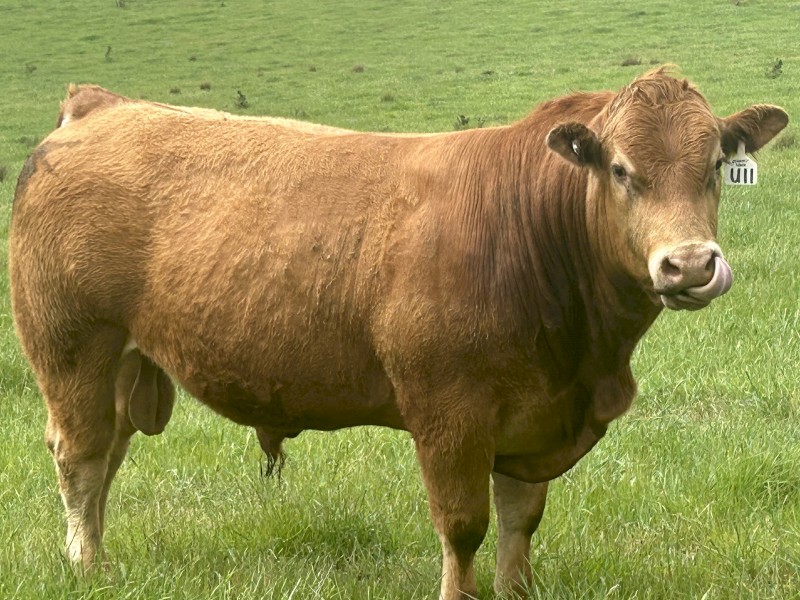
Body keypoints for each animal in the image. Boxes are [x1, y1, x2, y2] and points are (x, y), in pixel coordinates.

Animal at [9, 68, 787, 599]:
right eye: (621, 170)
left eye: (716, 166)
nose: (689, 264)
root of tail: (103, 105)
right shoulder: (450, 413)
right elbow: (464, 525)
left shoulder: (532, 420)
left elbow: (520, 522)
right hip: (71, 347)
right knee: (79, 458)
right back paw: (86, 566)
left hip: (122, 364)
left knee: (107, 455)